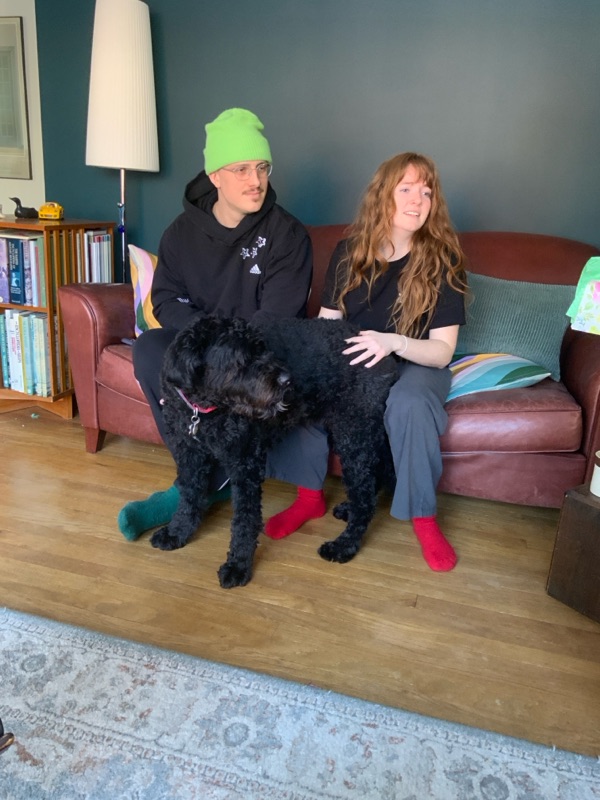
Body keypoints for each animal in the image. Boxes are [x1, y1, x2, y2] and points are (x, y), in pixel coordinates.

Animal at [151, 316, 398, 588]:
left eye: (262, 348)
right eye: (240, 358)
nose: (287, 380)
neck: (204, 409)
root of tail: (383, 351)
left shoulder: (245, 464)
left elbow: (245, 519)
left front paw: (238, 565)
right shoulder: (189, 455)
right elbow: (189, 497)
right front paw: (178, 531)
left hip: (354, 434)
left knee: (364, 495)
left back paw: (344, 545)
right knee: (375, 476)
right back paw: (348, 510)